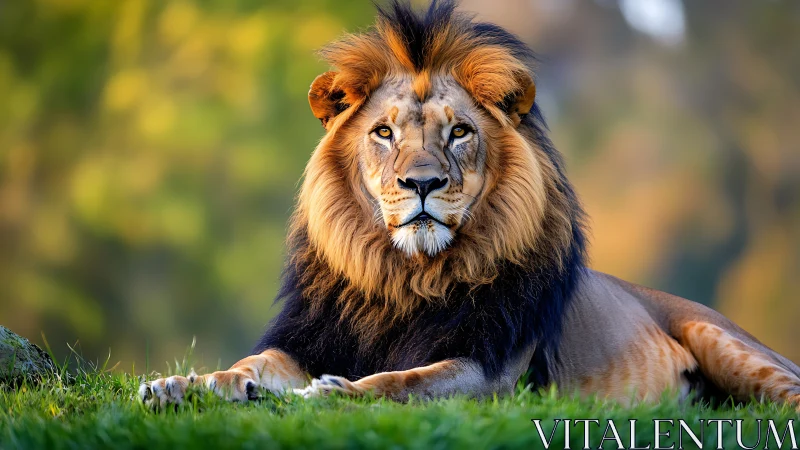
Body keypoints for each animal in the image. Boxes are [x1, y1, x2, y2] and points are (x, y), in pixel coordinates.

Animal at [139, 1, 800, 409]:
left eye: (459, 132)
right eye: (384, 133)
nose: (422, 183)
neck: (404, 278)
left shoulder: (491, 374)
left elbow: (405, 380)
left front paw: (335, 392)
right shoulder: (304, 342)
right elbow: (247, 365)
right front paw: (179, 385)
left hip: (728, 343)